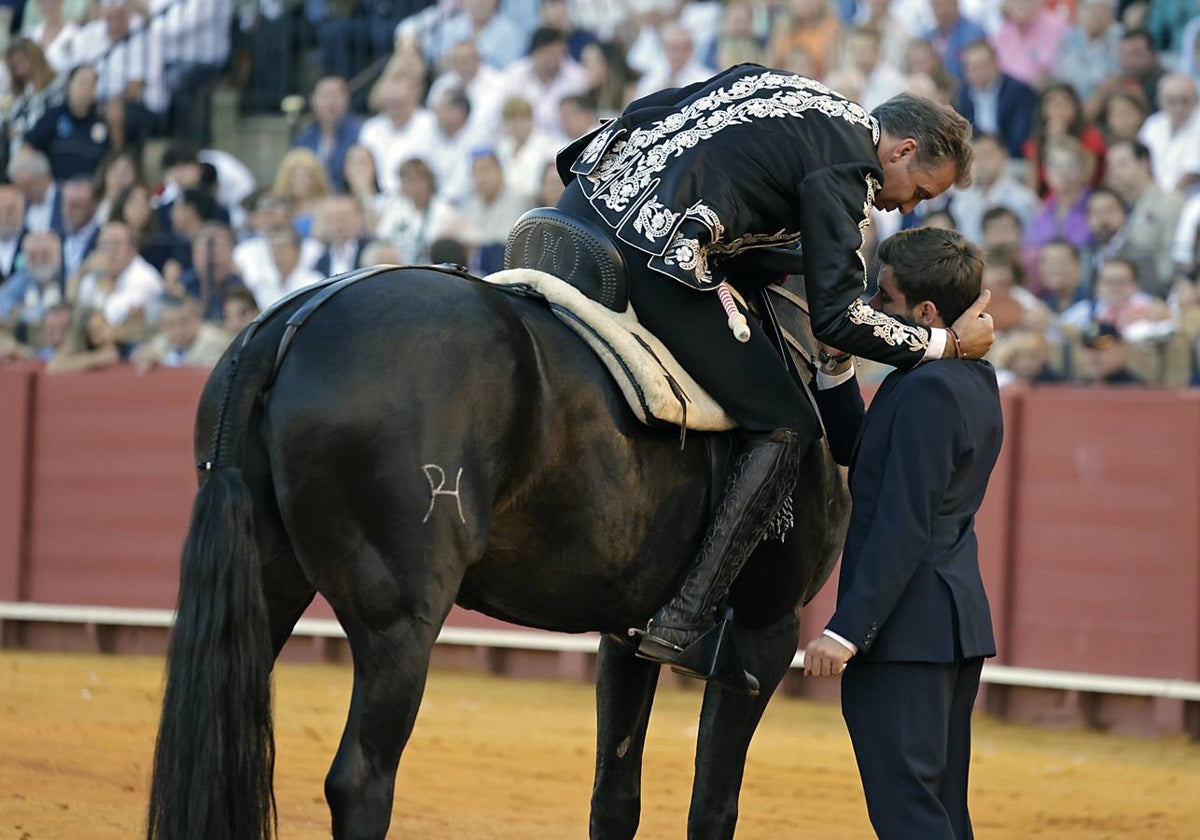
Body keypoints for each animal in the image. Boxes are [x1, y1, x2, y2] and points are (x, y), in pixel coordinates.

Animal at [145, 262, 849, 840]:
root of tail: (293, 323)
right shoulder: (765, 631)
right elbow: (713, 805)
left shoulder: (627, 632)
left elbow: (615, 795)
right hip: (400, 622)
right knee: (361, 781)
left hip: (265, 590)